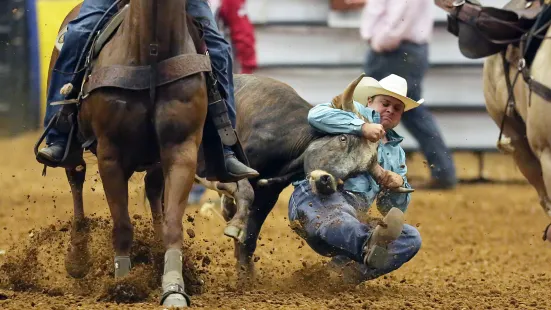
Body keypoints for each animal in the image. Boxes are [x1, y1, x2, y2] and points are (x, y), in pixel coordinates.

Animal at [43, 0, 210, 306]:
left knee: (154, 190)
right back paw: (77, 257)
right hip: (73, 146)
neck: (151, 54)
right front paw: (123, 283)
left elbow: (172, 223)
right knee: (76, 178)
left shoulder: (181, 150)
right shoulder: (111, 155)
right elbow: (121, 226)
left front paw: (173, 288)